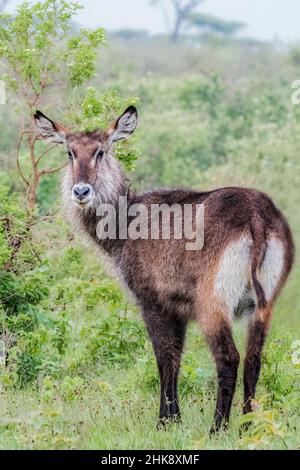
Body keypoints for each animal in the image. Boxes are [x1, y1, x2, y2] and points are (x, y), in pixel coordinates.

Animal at [34, 106, 294, 434]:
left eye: (100, 151)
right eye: (69, 152)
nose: (81, 191)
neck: (125, 223)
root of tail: (256, 215)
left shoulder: (152, 302)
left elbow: (164, 358)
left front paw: (164, 421)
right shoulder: (177, 309)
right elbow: (177, 358)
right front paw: (174, 418)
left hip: (213, 302)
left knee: (229, 358)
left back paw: (217, 428)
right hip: (262, 305)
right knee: (254, 359)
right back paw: (249, 427)